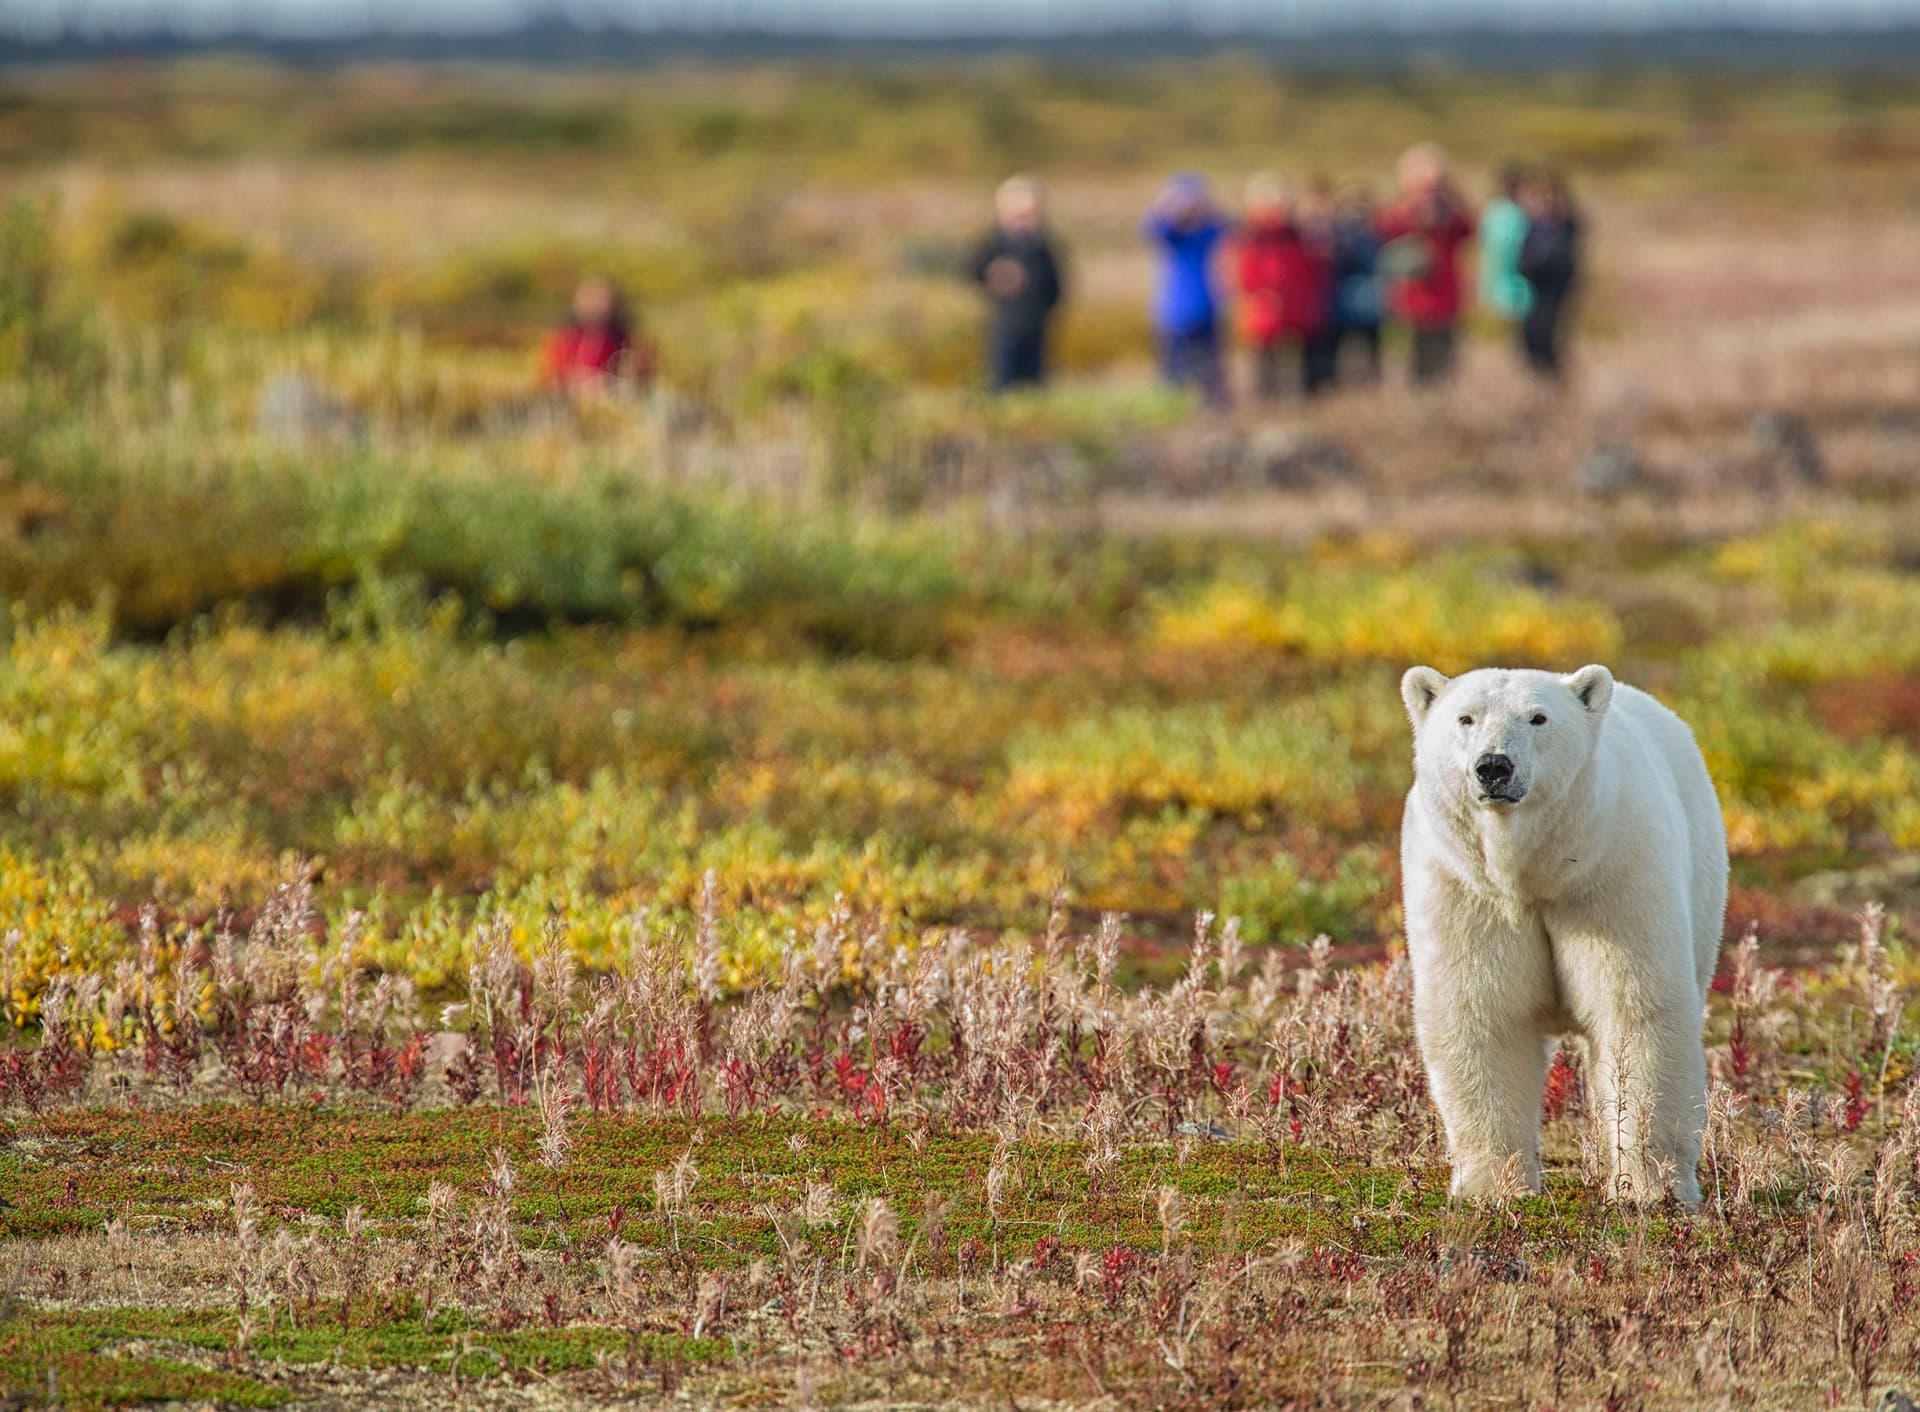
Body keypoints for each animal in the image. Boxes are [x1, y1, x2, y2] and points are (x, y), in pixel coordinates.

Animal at [1398, 663, 1728, 1205]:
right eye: (1466, 718)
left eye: (1538, 718)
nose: (1494, 767)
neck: (1534, 873)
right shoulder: (1467, 889)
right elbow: (1483, 1012)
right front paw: (1495, 1188)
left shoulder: (1610, 875)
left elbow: (1634, 1011)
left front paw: (1647, 1186)